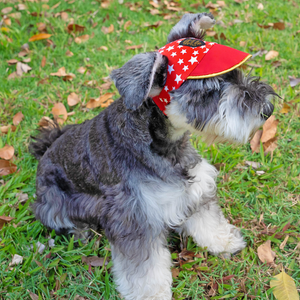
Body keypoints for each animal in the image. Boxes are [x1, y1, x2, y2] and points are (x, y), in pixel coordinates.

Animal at [29, 12, 276, 300]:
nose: (267, 109)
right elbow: (144, 272)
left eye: (235, 73)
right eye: (208, 91)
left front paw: (224, 241)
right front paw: (152, 294)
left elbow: (208, 221)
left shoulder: (194, 189)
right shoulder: (134, 218)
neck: (166, 145)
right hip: (53, 202)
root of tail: (45, 153)